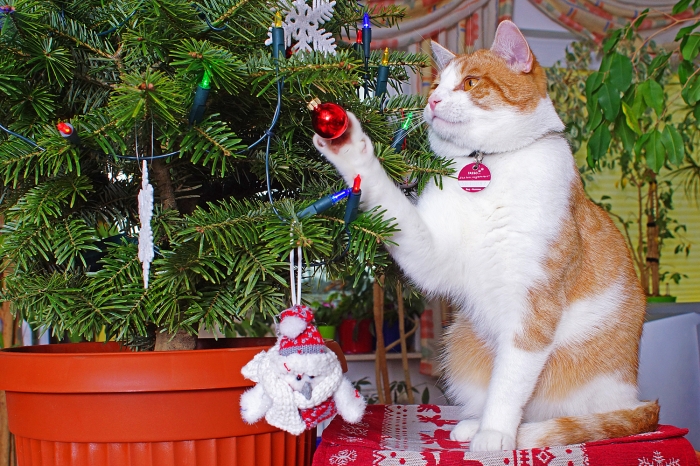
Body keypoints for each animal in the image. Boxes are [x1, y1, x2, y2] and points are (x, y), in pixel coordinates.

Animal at [314, 19, 660, 452]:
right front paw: (348, 147)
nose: (432, 102)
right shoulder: (433, 254)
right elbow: (384, 193)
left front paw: (495, 433)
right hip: (462, 339)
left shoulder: (533, 310)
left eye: (470, 82)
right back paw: (471, 424)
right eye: (435, 85)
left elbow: (509, 383)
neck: (489, 167)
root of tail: (637, 398)